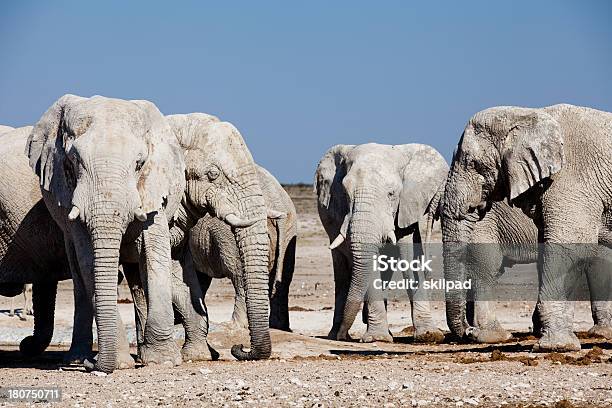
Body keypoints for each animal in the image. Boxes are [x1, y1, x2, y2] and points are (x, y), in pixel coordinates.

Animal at [26, 95, 184, 372]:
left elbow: (154, 254)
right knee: (79, 278)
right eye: (72, 162)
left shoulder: (154, 189)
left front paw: (163, 361)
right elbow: (88, 260)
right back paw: (76, 359)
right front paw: (119, 364)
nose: (93, 365)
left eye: (139, 164)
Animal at [189, 163, 298, 332]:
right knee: (284, 278)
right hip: (290, 230)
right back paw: (278, 327)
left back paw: (235, 325)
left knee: (239, 276)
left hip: (228, 233)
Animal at [314, 143, 448, 344]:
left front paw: (429, 335)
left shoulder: (406, 206)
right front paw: (377, 338)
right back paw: (338, 334)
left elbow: (410, 256)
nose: (343, 336)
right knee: (342, 272)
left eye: (391, 194)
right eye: (345, 193)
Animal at [442, 103, 612, 352]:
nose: (467, 332)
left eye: (474, 164)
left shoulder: (573, 180)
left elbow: (570, 249)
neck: (527, 115)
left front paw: (554, 346)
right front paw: (557, 344)